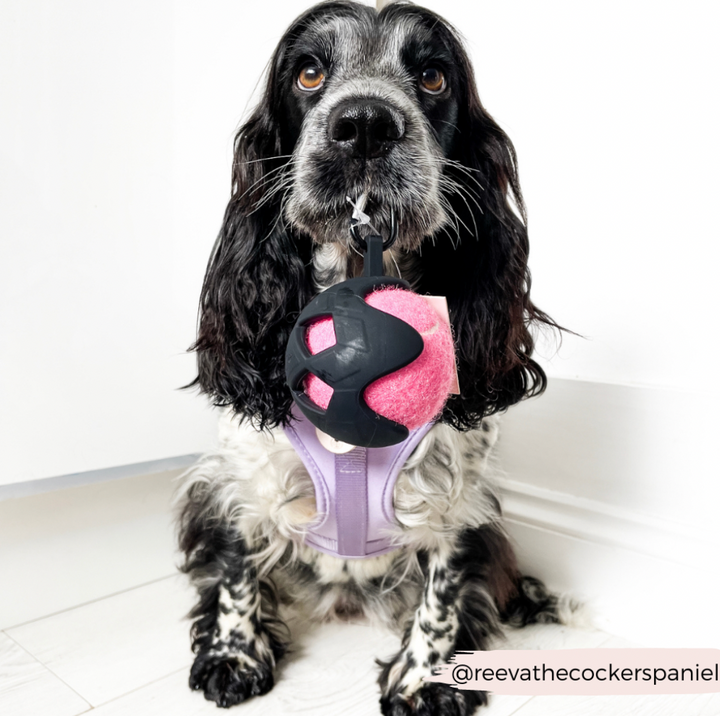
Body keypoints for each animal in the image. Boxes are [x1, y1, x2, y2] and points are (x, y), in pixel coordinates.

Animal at [176, 2, 568, 712]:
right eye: (308, 72)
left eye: (434, 76)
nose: (364, 125)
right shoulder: (238, 482)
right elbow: (238, 565)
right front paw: (233, 655)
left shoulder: (461, 503)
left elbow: (443, 593)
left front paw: (425, 680)